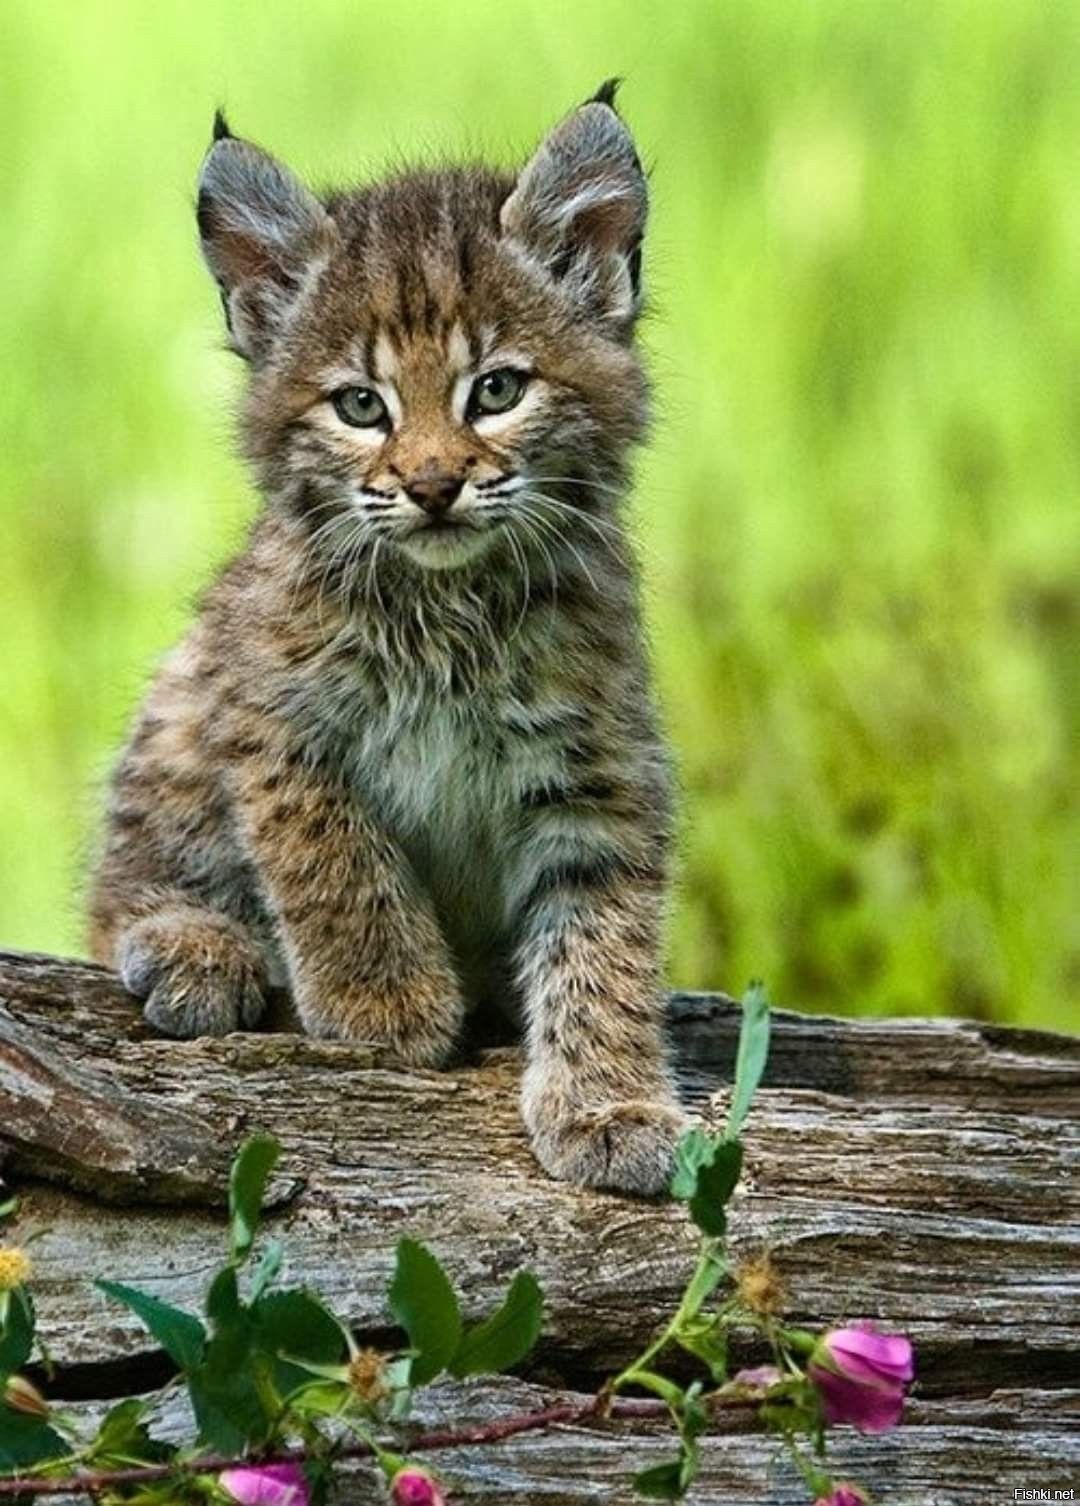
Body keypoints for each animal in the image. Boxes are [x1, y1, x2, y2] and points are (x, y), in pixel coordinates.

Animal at [88, 88, 686, 1192]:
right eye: (361, 406)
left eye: (496, 391)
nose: (433, 485)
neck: (446, 605)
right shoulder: (268, 711)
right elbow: (332, 848)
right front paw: (385, 1003)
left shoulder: (601, 768)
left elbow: (605, 939)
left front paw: (608, 1100)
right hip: (184, 684)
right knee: (116, 882)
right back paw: (195, 945)